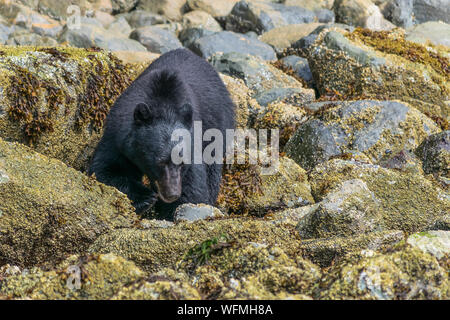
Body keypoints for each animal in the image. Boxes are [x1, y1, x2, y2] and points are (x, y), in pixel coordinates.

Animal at [89, 48, 236, 220]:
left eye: (182, 163)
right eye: (160, 162)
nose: (172, 194)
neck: (164, 105)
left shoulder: (194, 143)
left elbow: (193, 186)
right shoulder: (118, 135)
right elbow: (107, 168)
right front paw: (146, 198)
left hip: (218, 127)